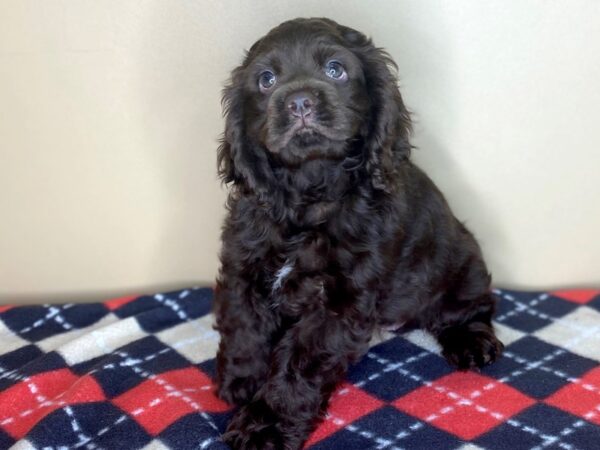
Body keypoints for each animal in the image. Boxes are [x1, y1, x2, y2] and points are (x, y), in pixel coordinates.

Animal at [213, 17, 504, 450]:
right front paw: (241, 381)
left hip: (462, 261)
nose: (299, 102)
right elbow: (243, 326)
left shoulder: (340, 303)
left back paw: (471, 341)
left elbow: (297, 365)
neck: (309, 198)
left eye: (335, 69)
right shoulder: (243, 267)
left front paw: (264, 424)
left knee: (473, 305)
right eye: (266, 80)